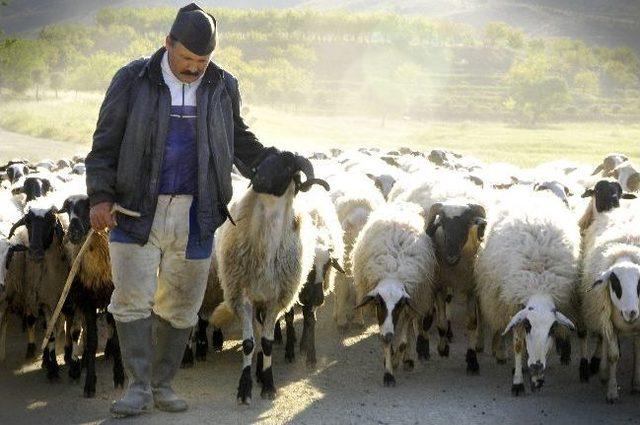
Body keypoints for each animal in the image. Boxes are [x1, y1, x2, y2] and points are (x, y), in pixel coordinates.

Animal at [352, 200, 438, 386]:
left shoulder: (408, 306)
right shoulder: (381, 316)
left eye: (399, 304)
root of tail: (402, 202)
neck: (392, 273)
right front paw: (388, 371)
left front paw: (398, 359)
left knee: (410, 329)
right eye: (378, 302)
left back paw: (407, 359)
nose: (388, 335)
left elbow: (403, 341)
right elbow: (387, 343)